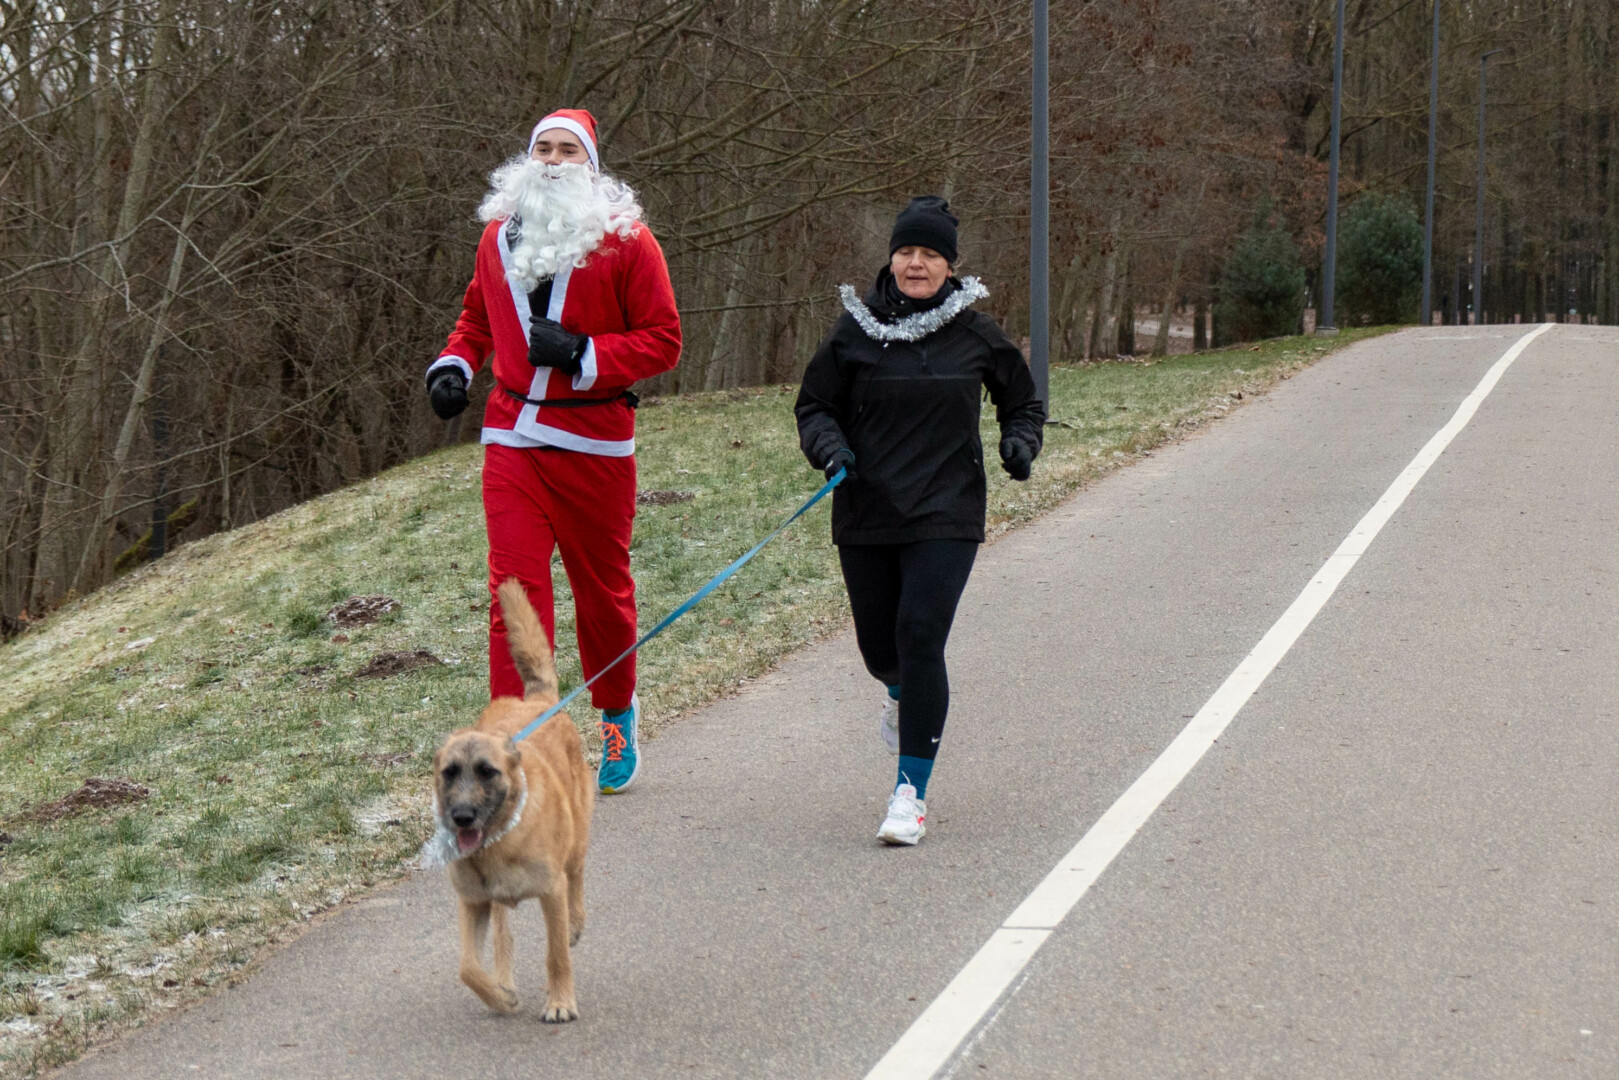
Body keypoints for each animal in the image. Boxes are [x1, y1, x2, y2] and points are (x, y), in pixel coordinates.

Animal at [426, 578, 594, 1022]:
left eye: (487, 771)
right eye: (449, 772)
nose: (463, 817)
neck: (497, 844)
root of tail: (537, 700)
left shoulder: (550, 892)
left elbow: (556, 955)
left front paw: (560, 1002)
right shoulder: (473, 903)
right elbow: (468, 968)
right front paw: (501, 998)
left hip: (577, 841)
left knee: (577, 878)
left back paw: (576, 923)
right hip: (496, 905)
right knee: (503, 938)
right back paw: (503, 979)